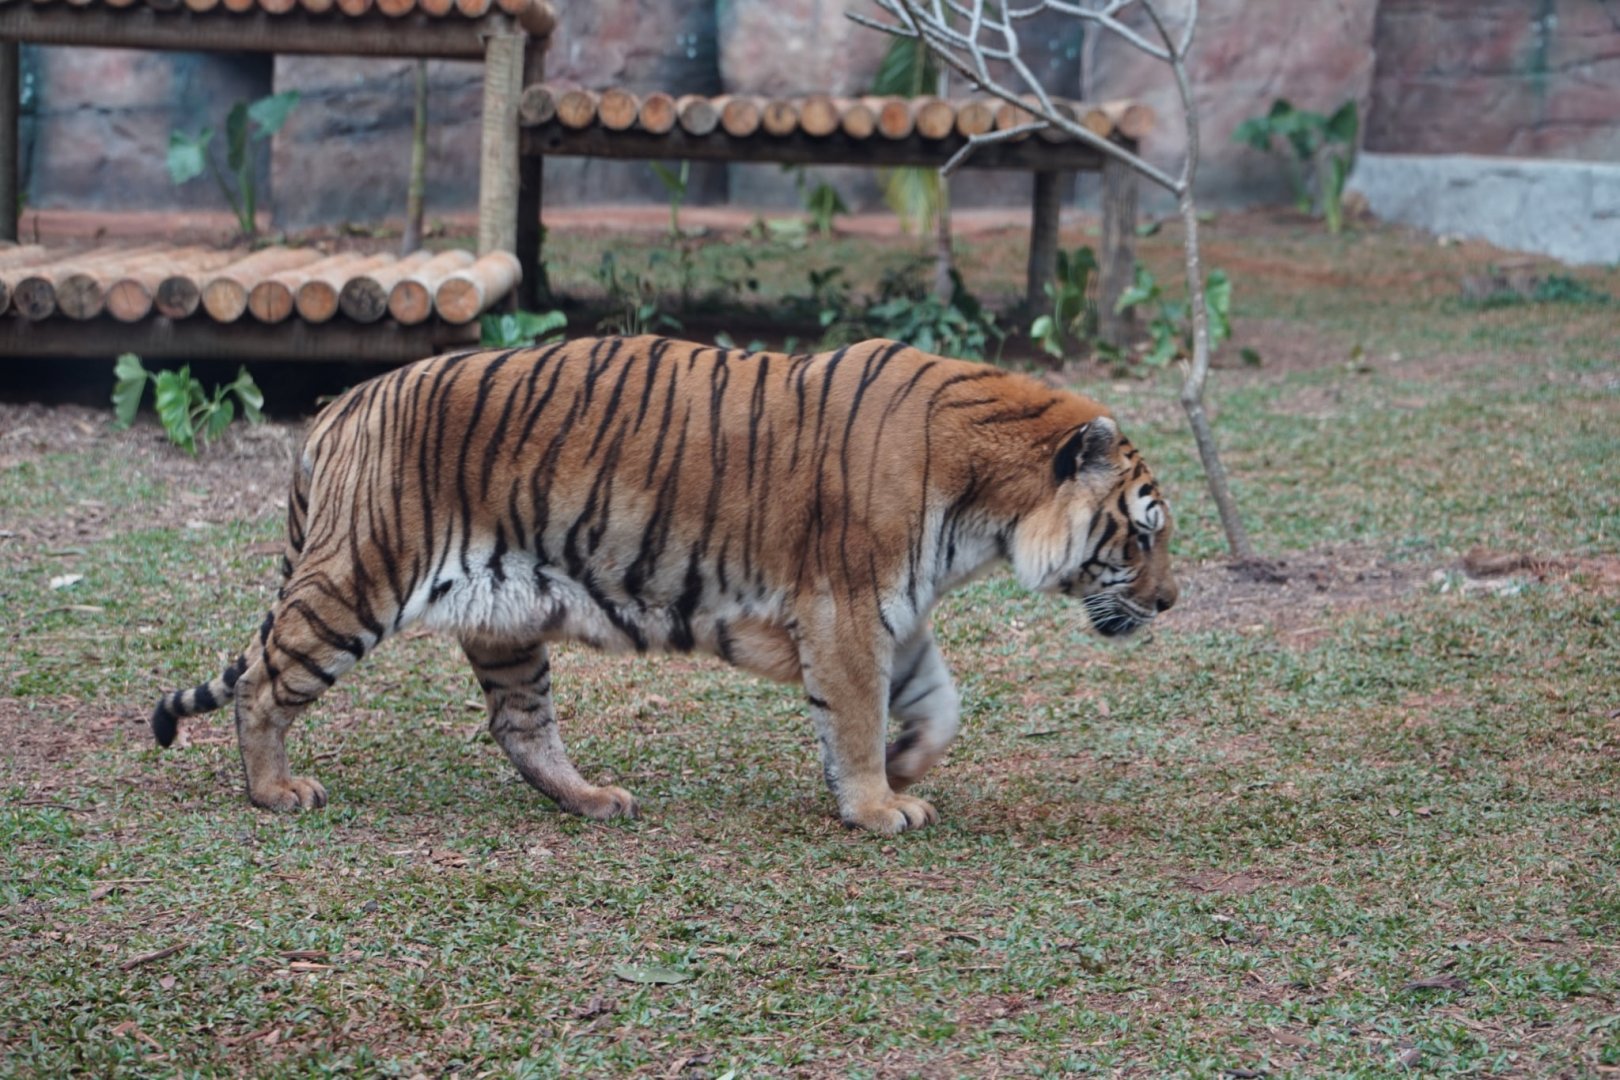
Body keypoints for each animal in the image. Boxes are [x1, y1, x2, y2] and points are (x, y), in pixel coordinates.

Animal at [148, 336, 1177, 835]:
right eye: (1144, 531)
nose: (1169, 604)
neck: (988, 511)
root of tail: (340, 410)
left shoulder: (898, 612)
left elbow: (939, 702)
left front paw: (910, 763)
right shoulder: (847, 609)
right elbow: (854, 715)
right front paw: (877, 804)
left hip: (505, 615)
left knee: (520, 728)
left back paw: (595, 801)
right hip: (355, 580)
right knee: (263, 684)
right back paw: (275, 792)